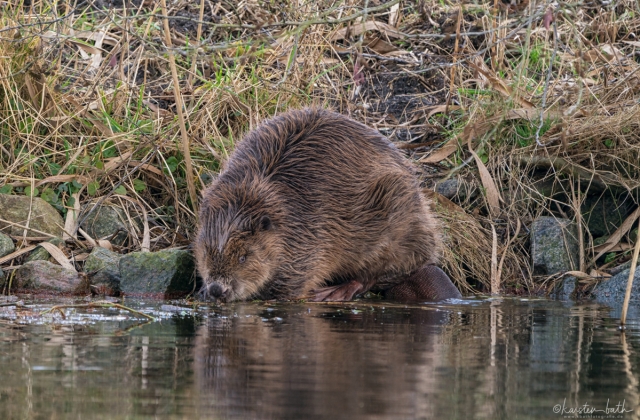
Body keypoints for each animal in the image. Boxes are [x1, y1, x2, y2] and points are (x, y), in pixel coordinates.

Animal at [192, 108, 462, 302]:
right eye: (205, 252)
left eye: (243, 258)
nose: (217, 290)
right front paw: (203, 293)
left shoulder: (309, 238)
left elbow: (294, 284)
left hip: (395, 214)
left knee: (376, 273)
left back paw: (335, 292)